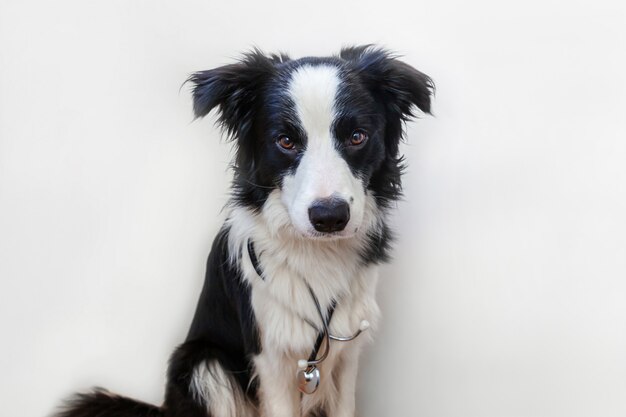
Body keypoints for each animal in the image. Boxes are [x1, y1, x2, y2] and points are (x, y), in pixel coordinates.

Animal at [56, 44, 432, 416]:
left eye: (357, 137)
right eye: (285, 141)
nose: (329, 217)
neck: (315, 251)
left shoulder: (346, 350)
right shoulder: (269, 354)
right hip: (203, 363)